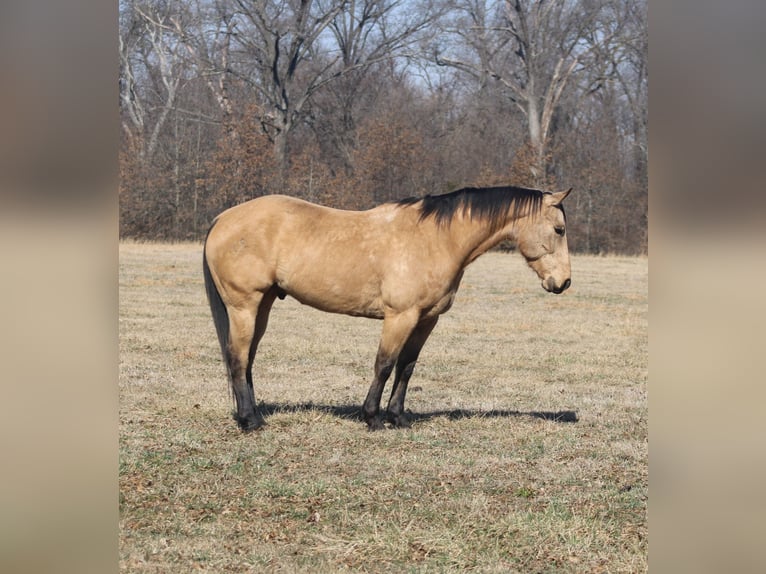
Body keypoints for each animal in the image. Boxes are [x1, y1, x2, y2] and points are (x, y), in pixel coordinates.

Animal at [204, 184, 568, 432]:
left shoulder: (426, 320)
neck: (437, 239)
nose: (563, 282)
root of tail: (222, 219)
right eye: (559, 229)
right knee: (237, 358)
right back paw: (250, 421)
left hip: (262, 305)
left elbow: (407, 367)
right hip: (244, 306)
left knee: (247, 360)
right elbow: (384, 364)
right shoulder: (399, 316)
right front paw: (372, 418)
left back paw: (252, 414)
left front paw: (397, 416)